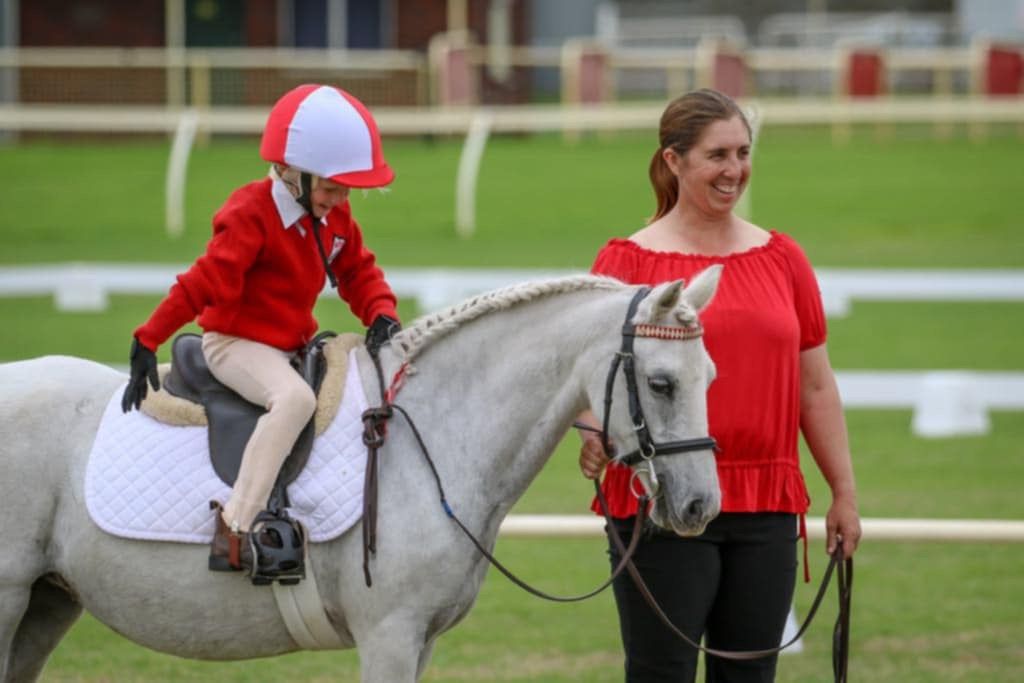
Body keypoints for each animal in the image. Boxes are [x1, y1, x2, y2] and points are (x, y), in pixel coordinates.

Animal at [0, 268, 720, 683]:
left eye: (710, 377)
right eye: (661, 383)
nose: (699, 506)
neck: (431, 432)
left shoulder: (420, 640)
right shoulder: (390, 635)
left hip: (47, 602)